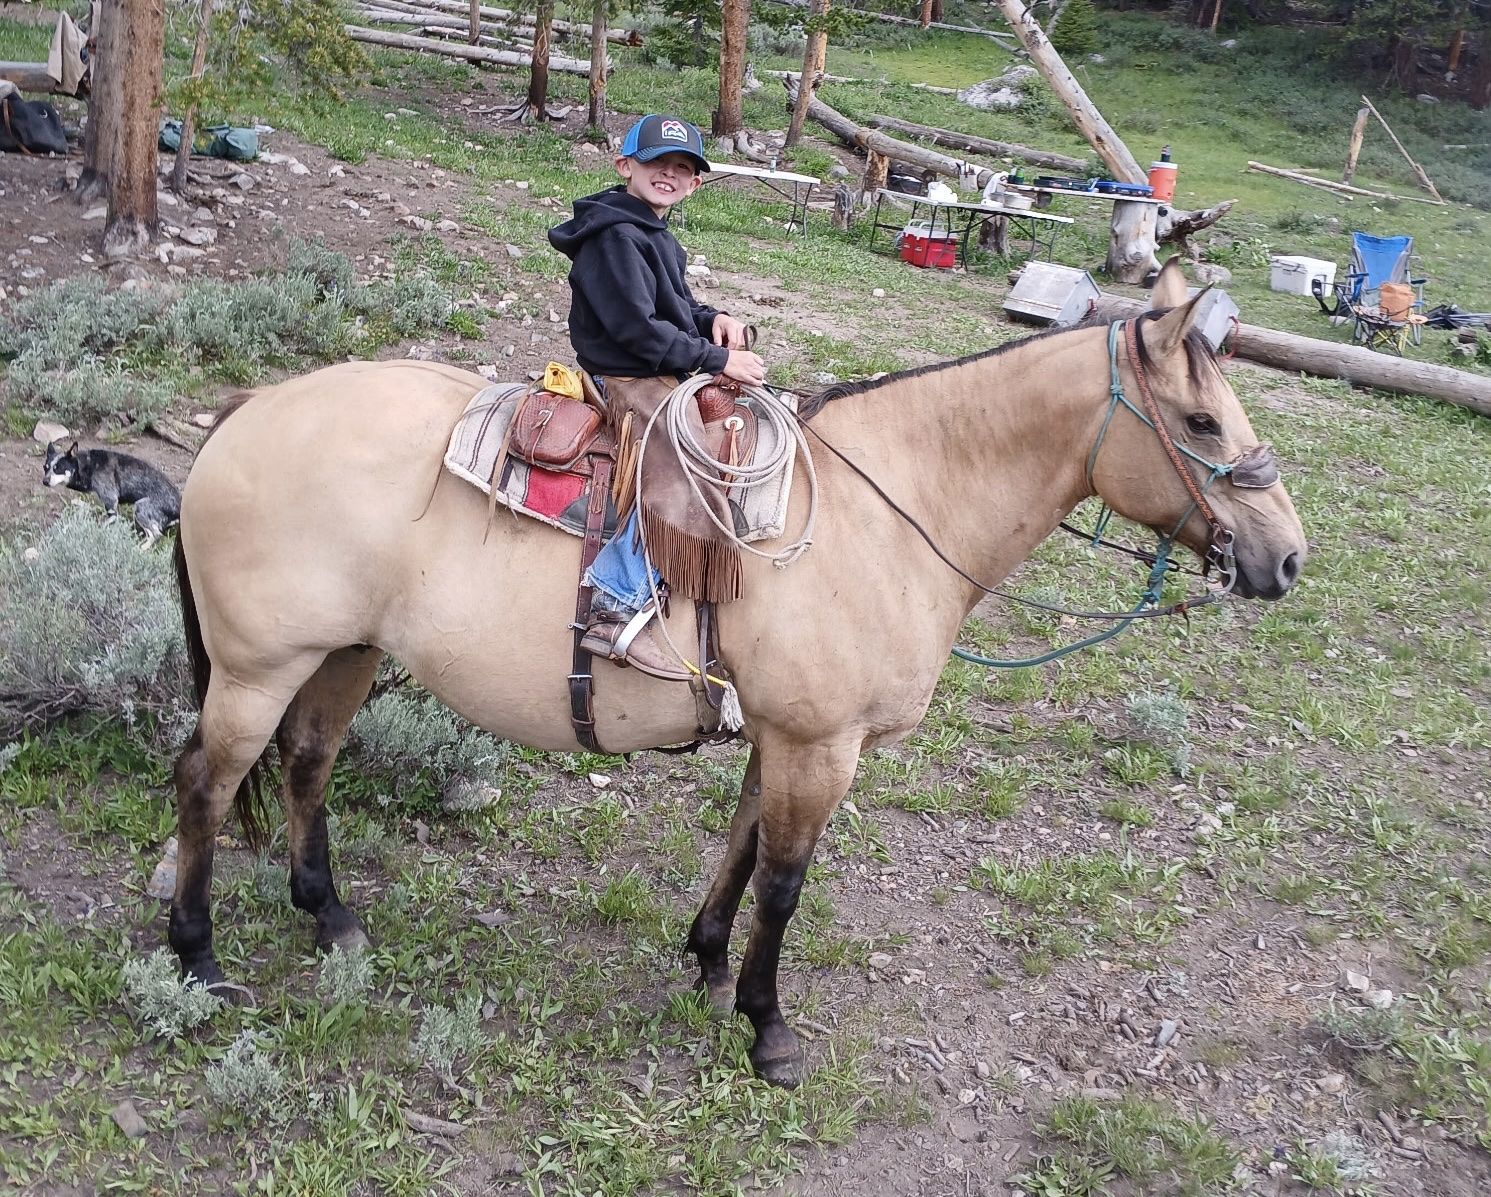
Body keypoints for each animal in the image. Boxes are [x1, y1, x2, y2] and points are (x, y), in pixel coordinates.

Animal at [167, 263, 1306, 1088]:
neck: (882, 513)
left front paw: (708, 959)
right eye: (1202, 424)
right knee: (206, 786)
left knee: (307, 764)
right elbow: (787, 885)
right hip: (259, 668)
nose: (1286, 559)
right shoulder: (821, 745)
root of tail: (246, 412)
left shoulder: (784, 736)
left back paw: (330, 915)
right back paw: (197, 958)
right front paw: (768, 1028)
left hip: (346, 654)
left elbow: (746, 848)